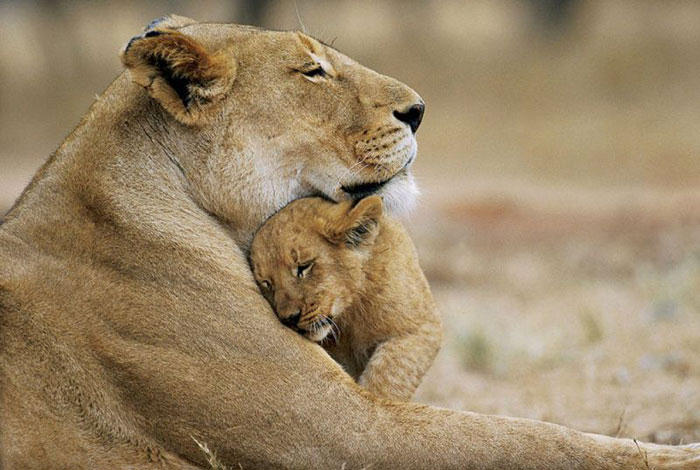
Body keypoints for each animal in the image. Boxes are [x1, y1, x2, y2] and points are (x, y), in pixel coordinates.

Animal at [250, 196, 442, 401]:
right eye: (267, 283)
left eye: (304, 266)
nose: (289, 319)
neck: (349, 314)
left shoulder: (422, 327)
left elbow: (389, 375)